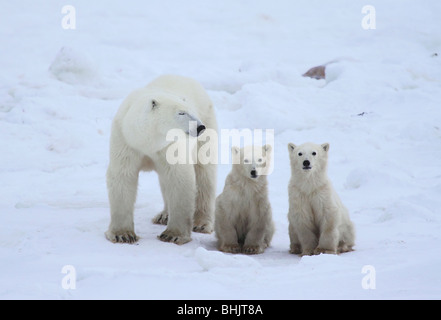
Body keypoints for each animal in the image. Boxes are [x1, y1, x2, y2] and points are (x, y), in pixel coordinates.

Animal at [105, 75, 217, 245]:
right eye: (181, 113)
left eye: (191, 110)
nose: (199, 127)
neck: (147, 141)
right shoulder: (125, 141)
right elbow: (123, 176)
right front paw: (123, 235)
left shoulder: (170, 146)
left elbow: (179, 178)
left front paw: (172, 235)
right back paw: (163, 215)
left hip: (208, 124)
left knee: (204, 175)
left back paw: (201, 223)